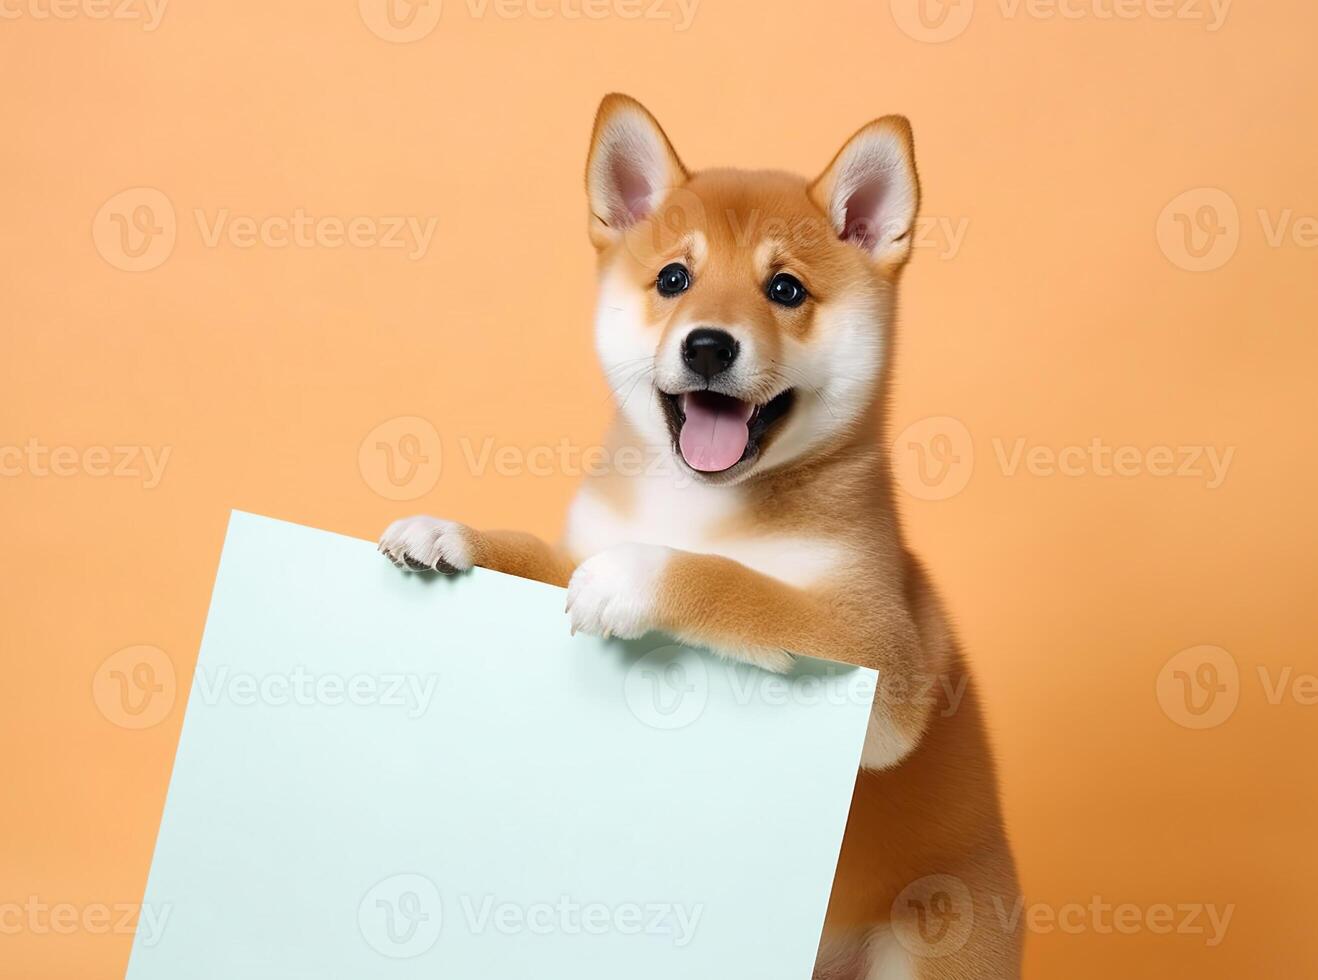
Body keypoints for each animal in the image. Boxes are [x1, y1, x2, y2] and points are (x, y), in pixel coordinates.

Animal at [379, 93, 1017, 980]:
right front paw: (453, 533)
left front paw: (637, 579)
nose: (709, 343)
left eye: (785, 288)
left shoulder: (882, 652)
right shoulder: (583, 541)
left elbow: (739, 585)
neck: (697, 505)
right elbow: (534, 557)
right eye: (674, 279)